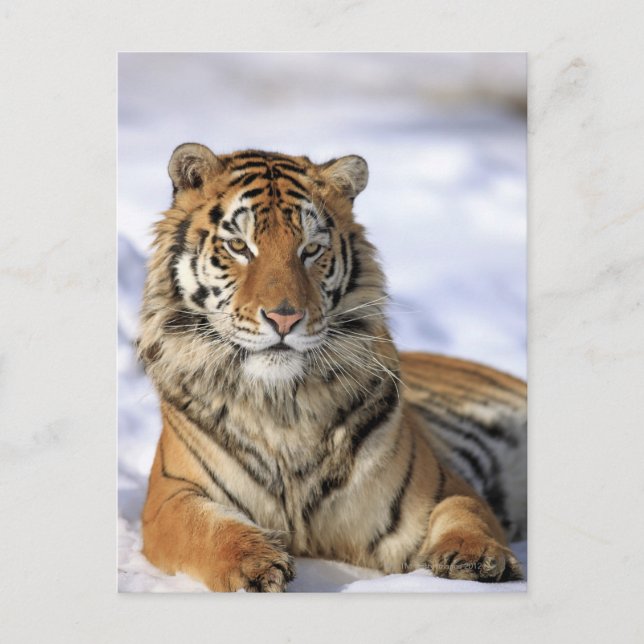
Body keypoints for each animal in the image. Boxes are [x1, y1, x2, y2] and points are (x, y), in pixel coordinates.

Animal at [137, 143, 527, 592]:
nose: (284, 317)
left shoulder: (437, 486)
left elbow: (464, 509)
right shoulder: (170, 494)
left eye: (310, 250)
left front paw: (476, 556)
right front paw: (255, 563)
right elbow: (204, 527)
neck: (282, 407)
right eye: (239, 246)